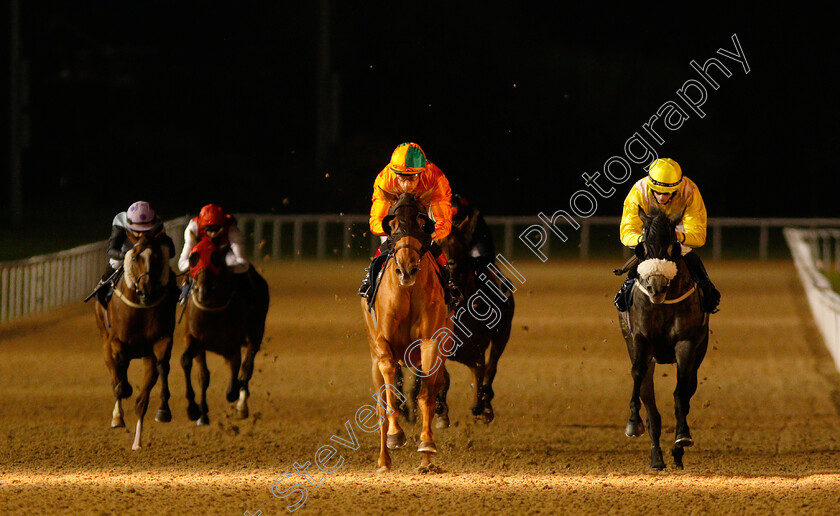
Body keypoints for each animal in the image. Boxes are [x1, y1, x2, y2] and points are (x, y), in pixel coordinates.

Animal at [94, 233, 176, 448]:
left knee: (141, 402)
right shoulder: (116, 341)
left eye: (156, 257)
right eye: (136, 258)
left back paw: (137, 442)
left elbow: (163, 365)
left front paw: (164, 410)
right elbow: (120, 368)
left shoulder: (161, 341)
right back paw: (117, 417)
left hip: (147, 357)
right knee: (115, 376)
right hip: (104, 342)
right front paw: (124, 389)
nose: (146, 289)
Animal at [180, 236, 270, 426]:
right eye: (193, 258)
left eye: (215, 258)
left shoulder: (232, 343)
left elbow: (237, 370)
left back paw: (242, 404)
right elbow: (197, 371)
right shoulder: (195, 339)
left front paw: (235, 393)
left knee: (247, 365)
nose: (202, 290)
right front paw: (197, 411)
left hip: (256, 331)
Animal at [360, 188, 452, 472]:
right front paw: (395, 435)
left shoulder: (430, 343)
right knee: (380, 406)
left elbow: (426, 396)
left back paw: (426, 462)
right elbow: (390, 393)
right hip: (373, 361)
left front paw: (427, 445)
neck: (408, 292)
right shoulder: (383, 344)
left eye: (423, 223)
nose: (407, 268)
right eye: (393, 224)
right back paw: (383, 460)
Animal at [616, 206, 708, 468]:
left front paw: (682, 436)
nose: (656, 287)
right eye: (643, 248)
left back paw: (676, 452)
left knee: (688, 388)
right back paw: (657, 456)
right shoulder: (640, 339)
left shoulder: (686, 343)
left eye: (672, 248)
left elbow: (681, 391)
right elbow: (638, 375)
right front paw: (633, 423)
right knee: (651, 403)